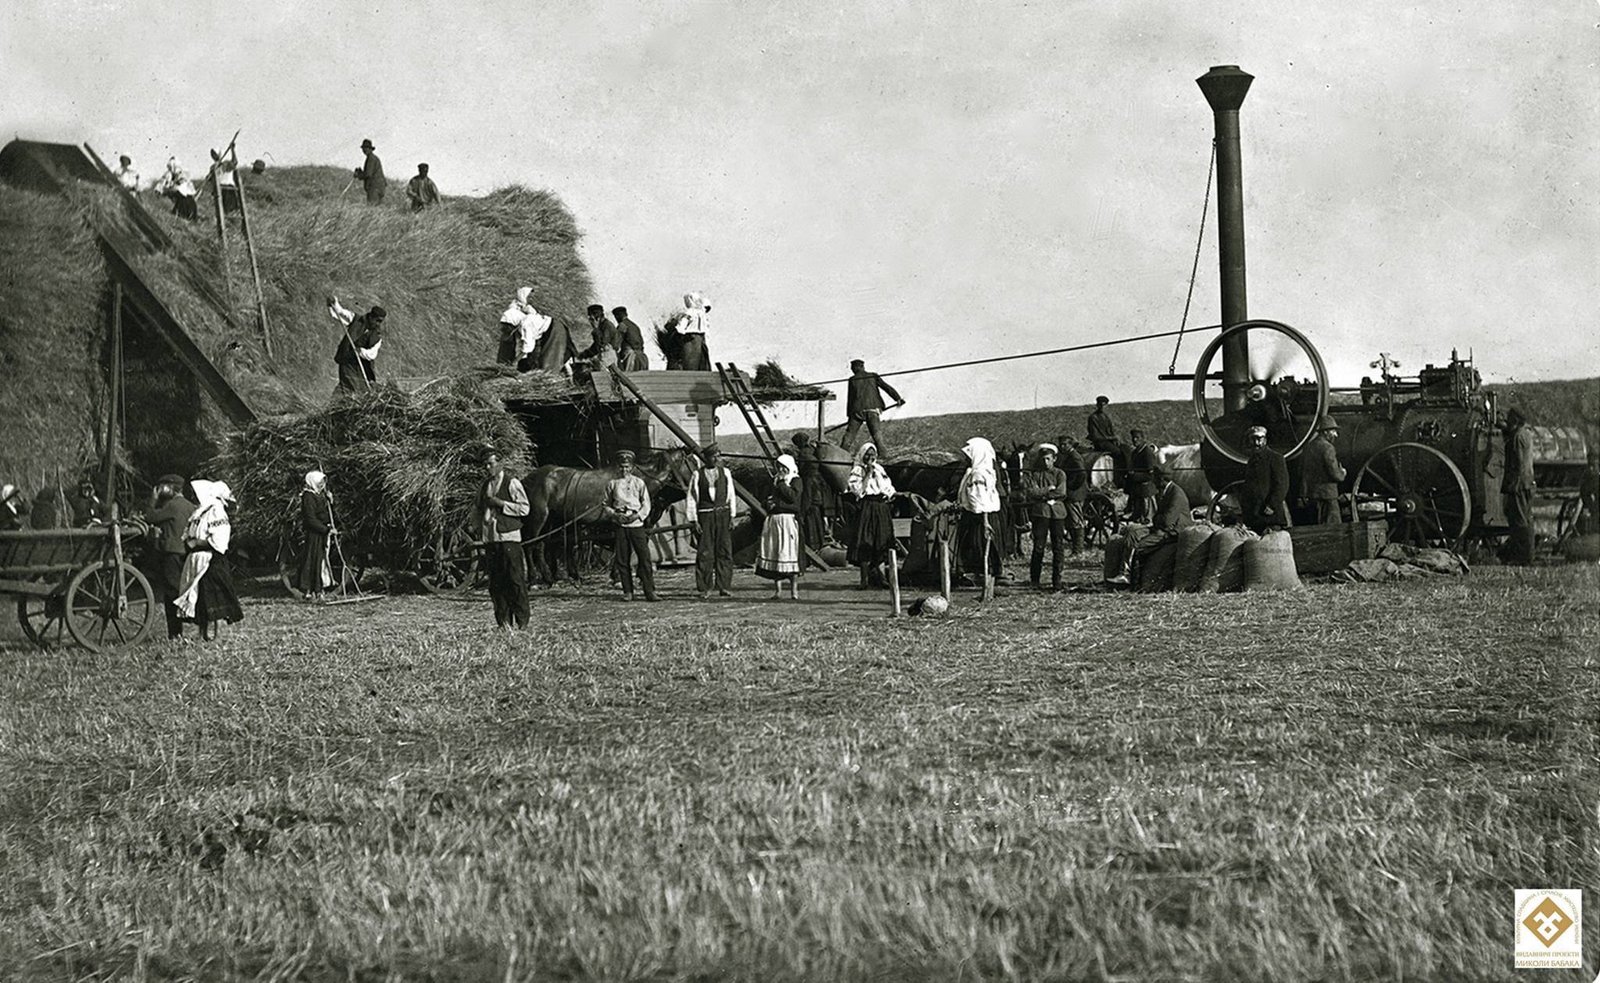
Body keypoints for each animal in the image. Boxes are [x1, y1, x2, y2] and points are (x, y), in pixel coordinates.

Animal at [521, 448, 697, 585]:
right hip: (539, 518)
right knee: (530, 545)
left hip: (554, 520)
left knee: (544, 545)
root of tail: (527, 479)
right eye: (692, 464)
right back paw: (535, 580)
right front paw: (619, 577)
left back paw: (556, 577)